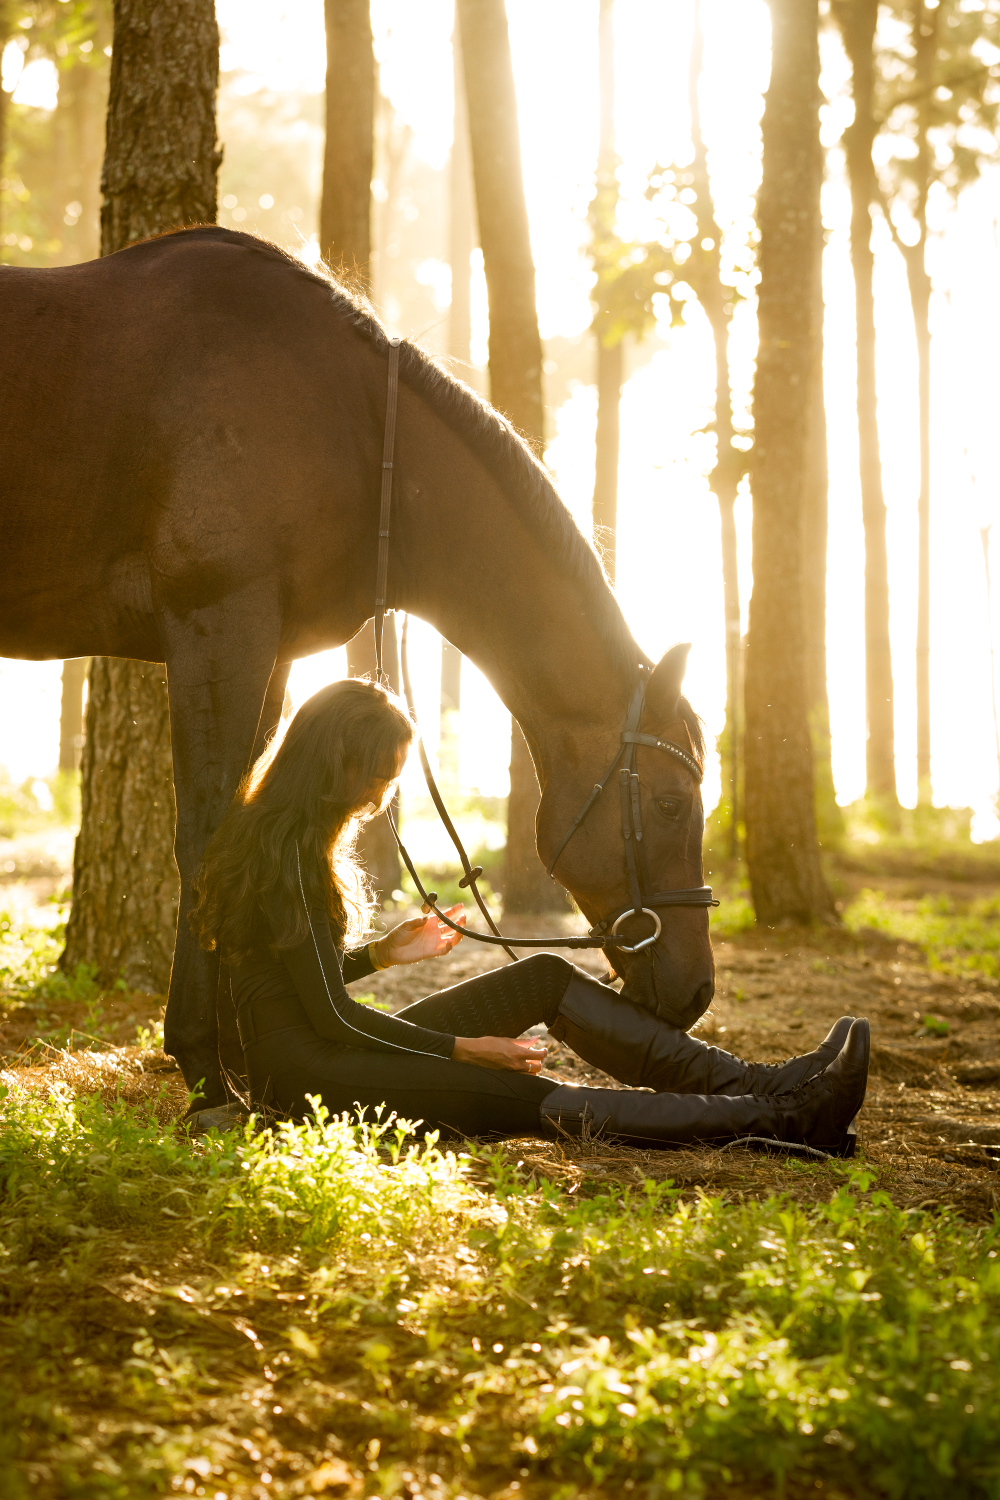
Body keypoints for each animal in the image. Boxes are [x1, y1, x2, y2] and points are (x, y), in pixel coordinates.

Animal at [0, 226, 715, 1106]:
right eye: (674, 805)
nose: (697, 991)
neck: (354, 431)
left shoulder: (271, 650)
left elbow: (242, 826)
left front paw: (238, 1050)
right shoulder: (217, 627)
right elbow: (205, 834)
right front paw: (205, 1061)